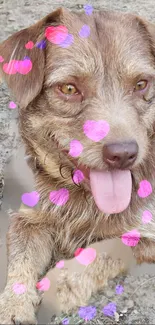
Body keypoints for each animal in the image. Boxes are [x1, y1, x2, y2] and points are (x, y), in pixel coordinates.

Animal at [0, 6, 155, 322]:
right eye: (69, 88)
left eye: (141, 84)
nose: (123, 154)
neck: (83, 197)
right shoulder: (28, 218)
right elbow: (20, 261)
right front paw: (13, 305)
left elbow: (110, 246)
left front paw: (60, 285)